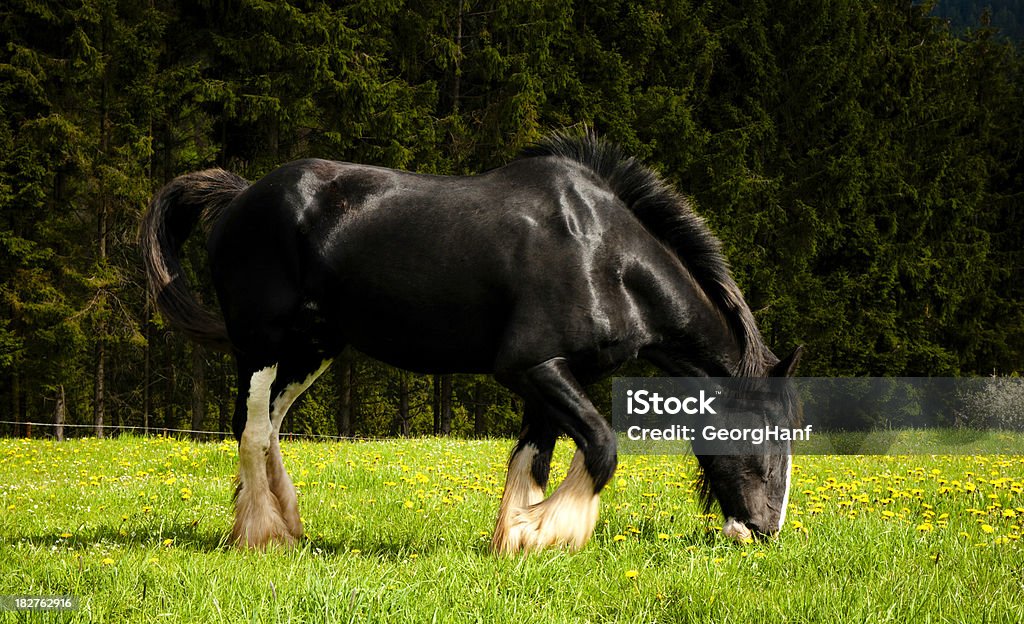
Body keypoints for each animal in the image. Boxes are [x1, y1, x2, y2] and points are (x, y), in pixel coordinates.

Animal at [142, 130, 798, 549]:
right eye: (764, 436)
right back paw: (265, 535)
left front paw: (513, 536)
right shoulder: (529, 366)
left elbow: (533, 457)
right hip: (261, 344)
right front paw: (542, 531)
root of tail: (241, 196)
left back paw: (288, 523)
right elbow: (601, 447)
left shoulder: (556, 376)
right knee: (251, 430)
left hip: (311, 349)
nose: (765, 531)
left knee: (272, 427)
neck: (604, 258)